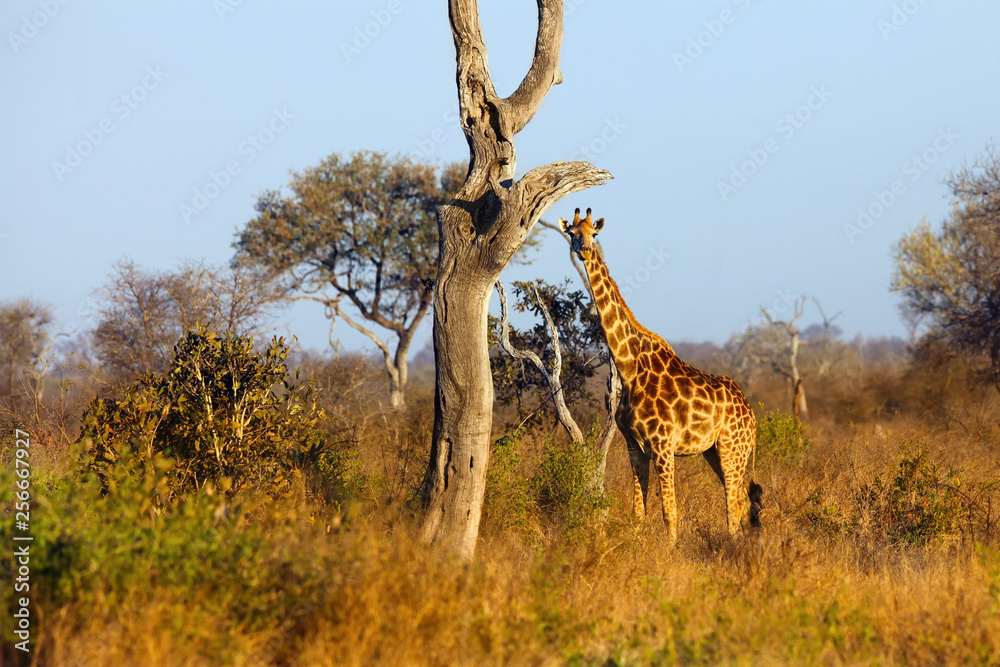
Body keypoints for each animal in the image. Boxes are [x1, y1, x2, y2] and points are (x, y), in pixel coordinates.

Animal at [560, 207, 760, 544]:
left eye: (594, 233)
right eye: (572, 233)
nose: (584, 249)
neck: (629, 369)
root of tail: (751, 414)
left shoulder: (664, 447)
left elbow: (670, 511)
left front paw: (669, 552)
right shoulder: (634, 447)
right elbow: (638, 513)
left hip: (733, 448)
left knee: (734, 504)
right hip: (717, 452)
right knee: (742, 502)